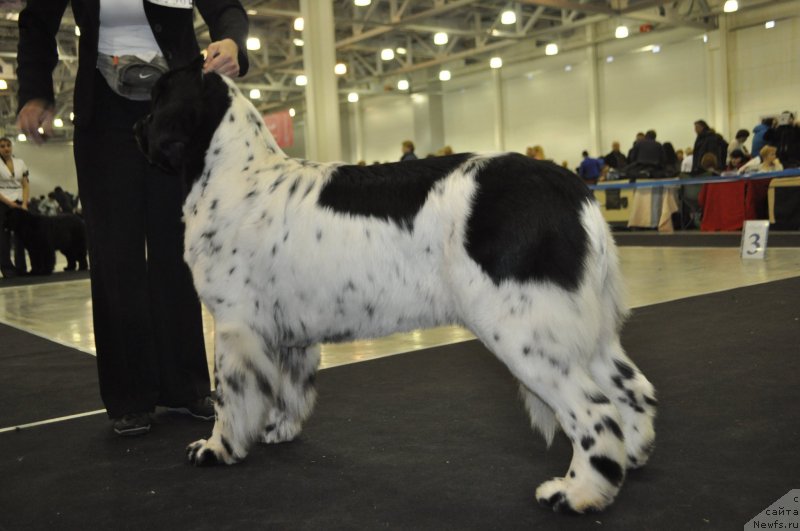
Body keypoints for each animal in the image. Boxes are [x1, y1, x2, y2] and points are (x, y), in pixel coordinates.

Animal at [134, 60, 656, 512]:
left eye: (157, 95)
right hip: (584, 328)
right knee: (634, 390)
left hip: (527, 332)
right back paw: (631, 458)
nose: (136, 129)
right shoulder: (286, 331)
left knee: (594, 411)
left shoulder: (235, 323)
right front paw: (279, 430)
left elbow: (231, 396)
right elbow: (288, 388)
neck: (233, 174)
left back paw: (577, 493)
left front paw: (217, 449)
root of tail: (576, 192)